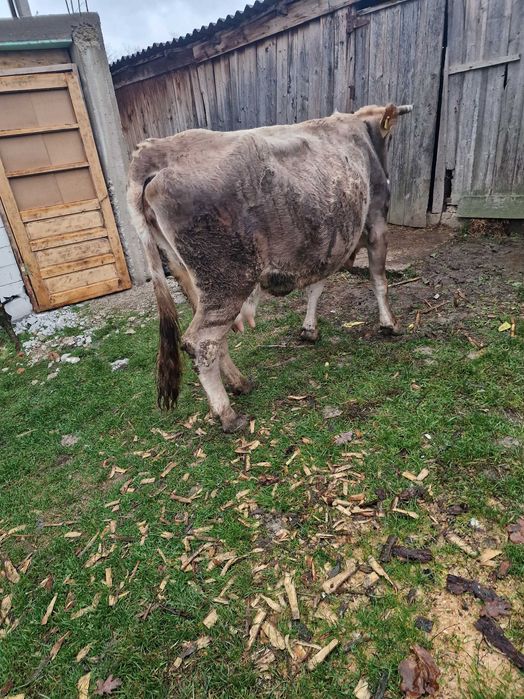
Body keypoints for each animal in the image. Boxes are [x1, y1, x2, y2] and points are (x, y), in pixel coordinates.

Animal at [127, 103, 413, 432]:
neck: (362, 131)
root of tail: (154, 151)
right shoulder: (377, 221)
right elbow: (379, 280)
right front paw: (390, 324)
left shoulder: (327, 244)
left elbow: (316, 287)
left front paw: (309, 330)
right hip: (228, 280)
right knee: (201, 342)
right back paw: (227, 414)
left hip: (188, 276)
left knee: (215, 341)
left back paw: (240, 383)